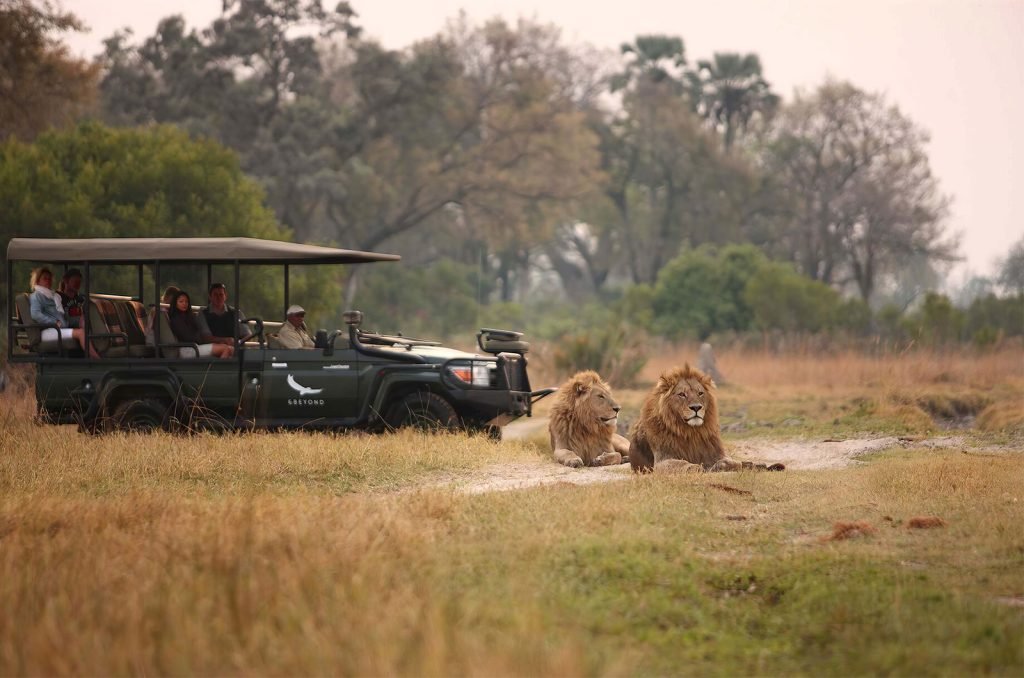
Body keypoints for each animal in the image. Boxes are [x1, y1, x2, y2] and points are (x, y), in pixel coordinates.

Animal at [630, 364, 784, 473]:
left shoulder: (716, 453)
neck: (691, 432)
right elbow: (684, 464)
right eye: (682, 394)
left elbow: (731, 462)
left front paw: (726, 466)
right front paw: (699, 468)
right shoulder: (662, 460)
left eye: (700, 393)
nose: (696, 407)